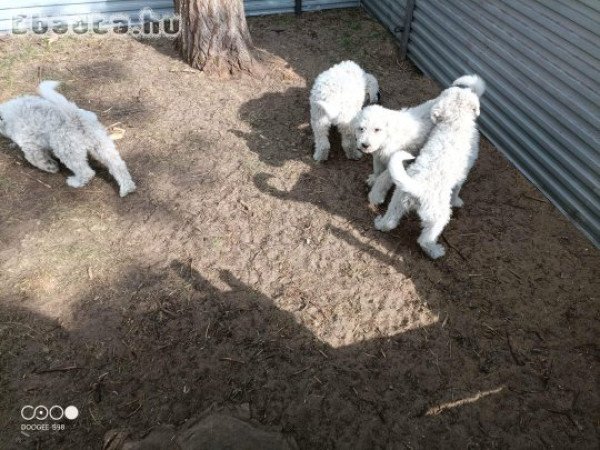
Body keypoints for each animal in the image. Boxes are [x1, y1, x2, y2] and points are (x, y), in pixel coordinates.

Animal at [0, 81, 136, 197]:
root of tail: (71, 114)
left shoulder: (30, 146)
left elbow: (36, 160)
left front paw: (50, 167)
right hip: (101, 144)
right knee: (118, 165)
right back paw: (127, 188)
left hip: (68, 151)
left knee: (86, 172)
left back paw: (75, 182)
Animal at [354, 74, 486, 205]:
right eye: (361, 129)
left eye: (377, 129)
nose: (364, 145)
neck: (388, 137)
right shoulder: (378, 155)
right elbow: (377, 169)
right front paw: (373, 179)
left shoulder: (398, 161)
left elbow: (383, 178)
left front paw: (375, 195)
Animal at [378, 85, 486, 258]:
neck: (454, 122)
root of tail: (417, 188)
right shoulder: (463, 174)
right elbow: (457, 190)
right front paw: (457, 201)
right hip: (438, 217)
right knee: (424, 240)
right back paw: (436, 252)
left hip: (398, 201)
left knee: (389, 222)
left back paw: (379, 223)